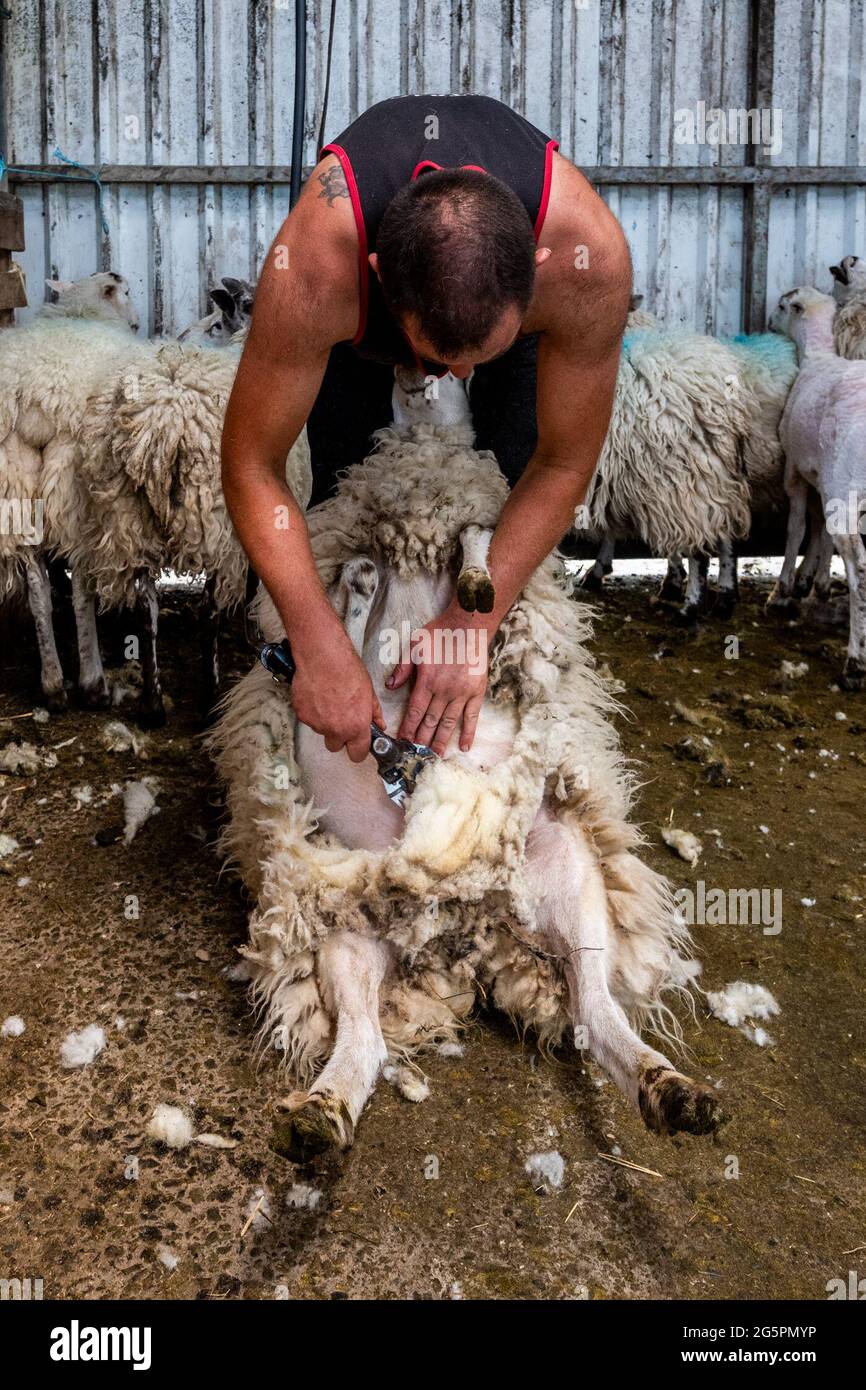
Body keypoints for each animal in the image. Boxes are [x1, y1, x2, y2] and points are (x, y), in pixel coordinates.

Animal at [0, 273, 145, 709]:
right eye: (127, 292)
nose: (137, 323)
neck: (86, 312)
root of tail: (33, 392)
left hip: (16, 479)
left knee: (38, 591)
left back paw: (52, 685)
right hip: (73, 482)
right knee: (82, 588)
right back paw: (92, 682)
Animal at [73, 336, 311, 724]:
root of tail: (163, 425)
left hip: (128, 519)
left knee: (147, 610)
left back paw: (152, 706)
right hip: (217, 525)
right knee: (207, 611)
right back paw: (210, 698)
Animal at [208, 416, 726, 1159]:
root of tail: (468, 920)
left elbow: (477, 538)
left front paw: (475, 584)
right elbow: (355, 630)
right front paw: (379, 583)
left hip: (566, 872)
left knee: (592, 1009)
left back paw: (673, 1091)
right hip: (348, 928)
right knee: (368, 1042)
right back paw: (319, 1115)